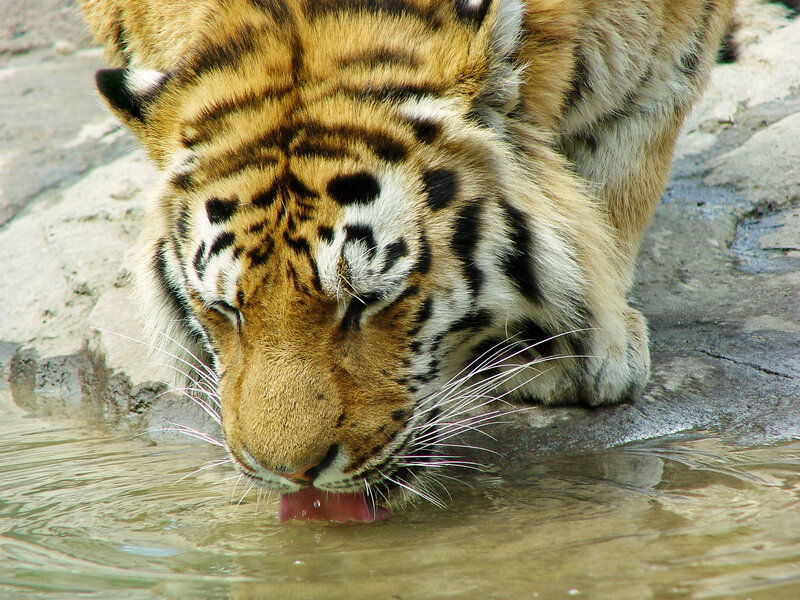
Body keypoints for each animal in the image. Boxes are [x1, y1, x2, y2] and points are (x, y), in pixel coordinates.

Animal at [79, 0, 734, 519]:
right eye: (226, 310)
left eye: (366, 302)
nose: (291, 475)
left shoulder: (671, 53)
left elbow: (619, 173)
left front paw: (588, 347)